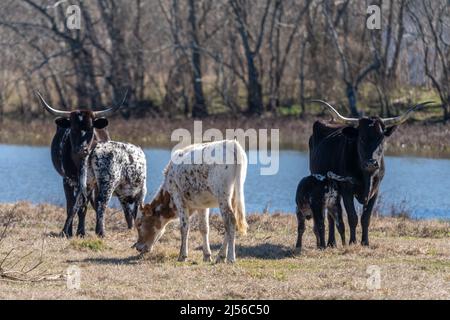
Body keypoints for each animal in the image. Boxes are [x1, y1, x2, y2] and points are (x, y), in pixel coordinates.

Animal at [35, 91, 127, 236]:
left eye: (90, 128)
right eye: (73, 128)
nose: (82, 149)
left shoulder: (89, 183)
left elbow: (82, 206)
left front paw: (81, 232)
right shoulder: (67, 180)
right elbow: (71, 205)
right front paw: (67, 232)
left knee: (93, 203)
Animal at [310, 100, 432, 245]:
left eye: (381, 138)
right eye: (361, 138)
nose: (371, 163)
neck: (366, 176)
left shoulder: (376, 190)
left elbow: (366, 218)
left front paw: (365, 242)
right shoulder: (347, 190)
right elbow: (352, 217)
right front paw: (353, 242)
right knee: (330, 215)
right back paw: (331, 243)